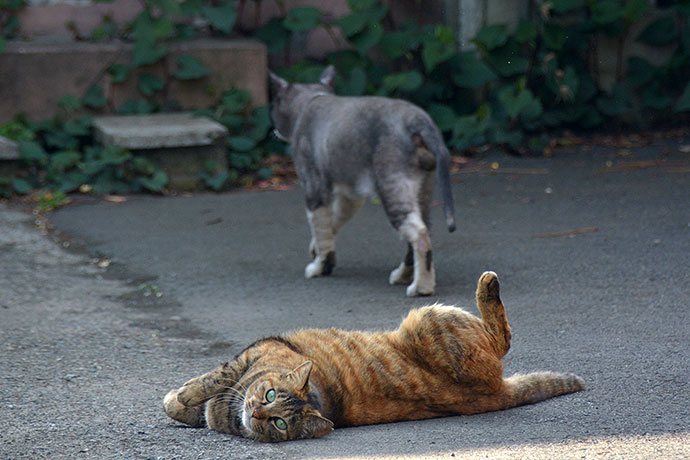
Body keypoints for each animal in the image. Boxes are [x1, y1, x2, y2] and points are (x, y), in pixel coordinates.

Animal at [164, 274, 584, 442]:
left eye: (280, 422)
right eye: (268, 397)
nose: (256, 412)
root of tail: (495, 393)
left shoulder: (256, 350)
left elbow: (207, 381)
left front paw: (179, 398)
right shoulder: (252, 357)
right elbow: (205, 395)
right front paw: (187, 407)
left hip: (429, 318)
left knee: (503, 338)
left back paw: (488, 285)